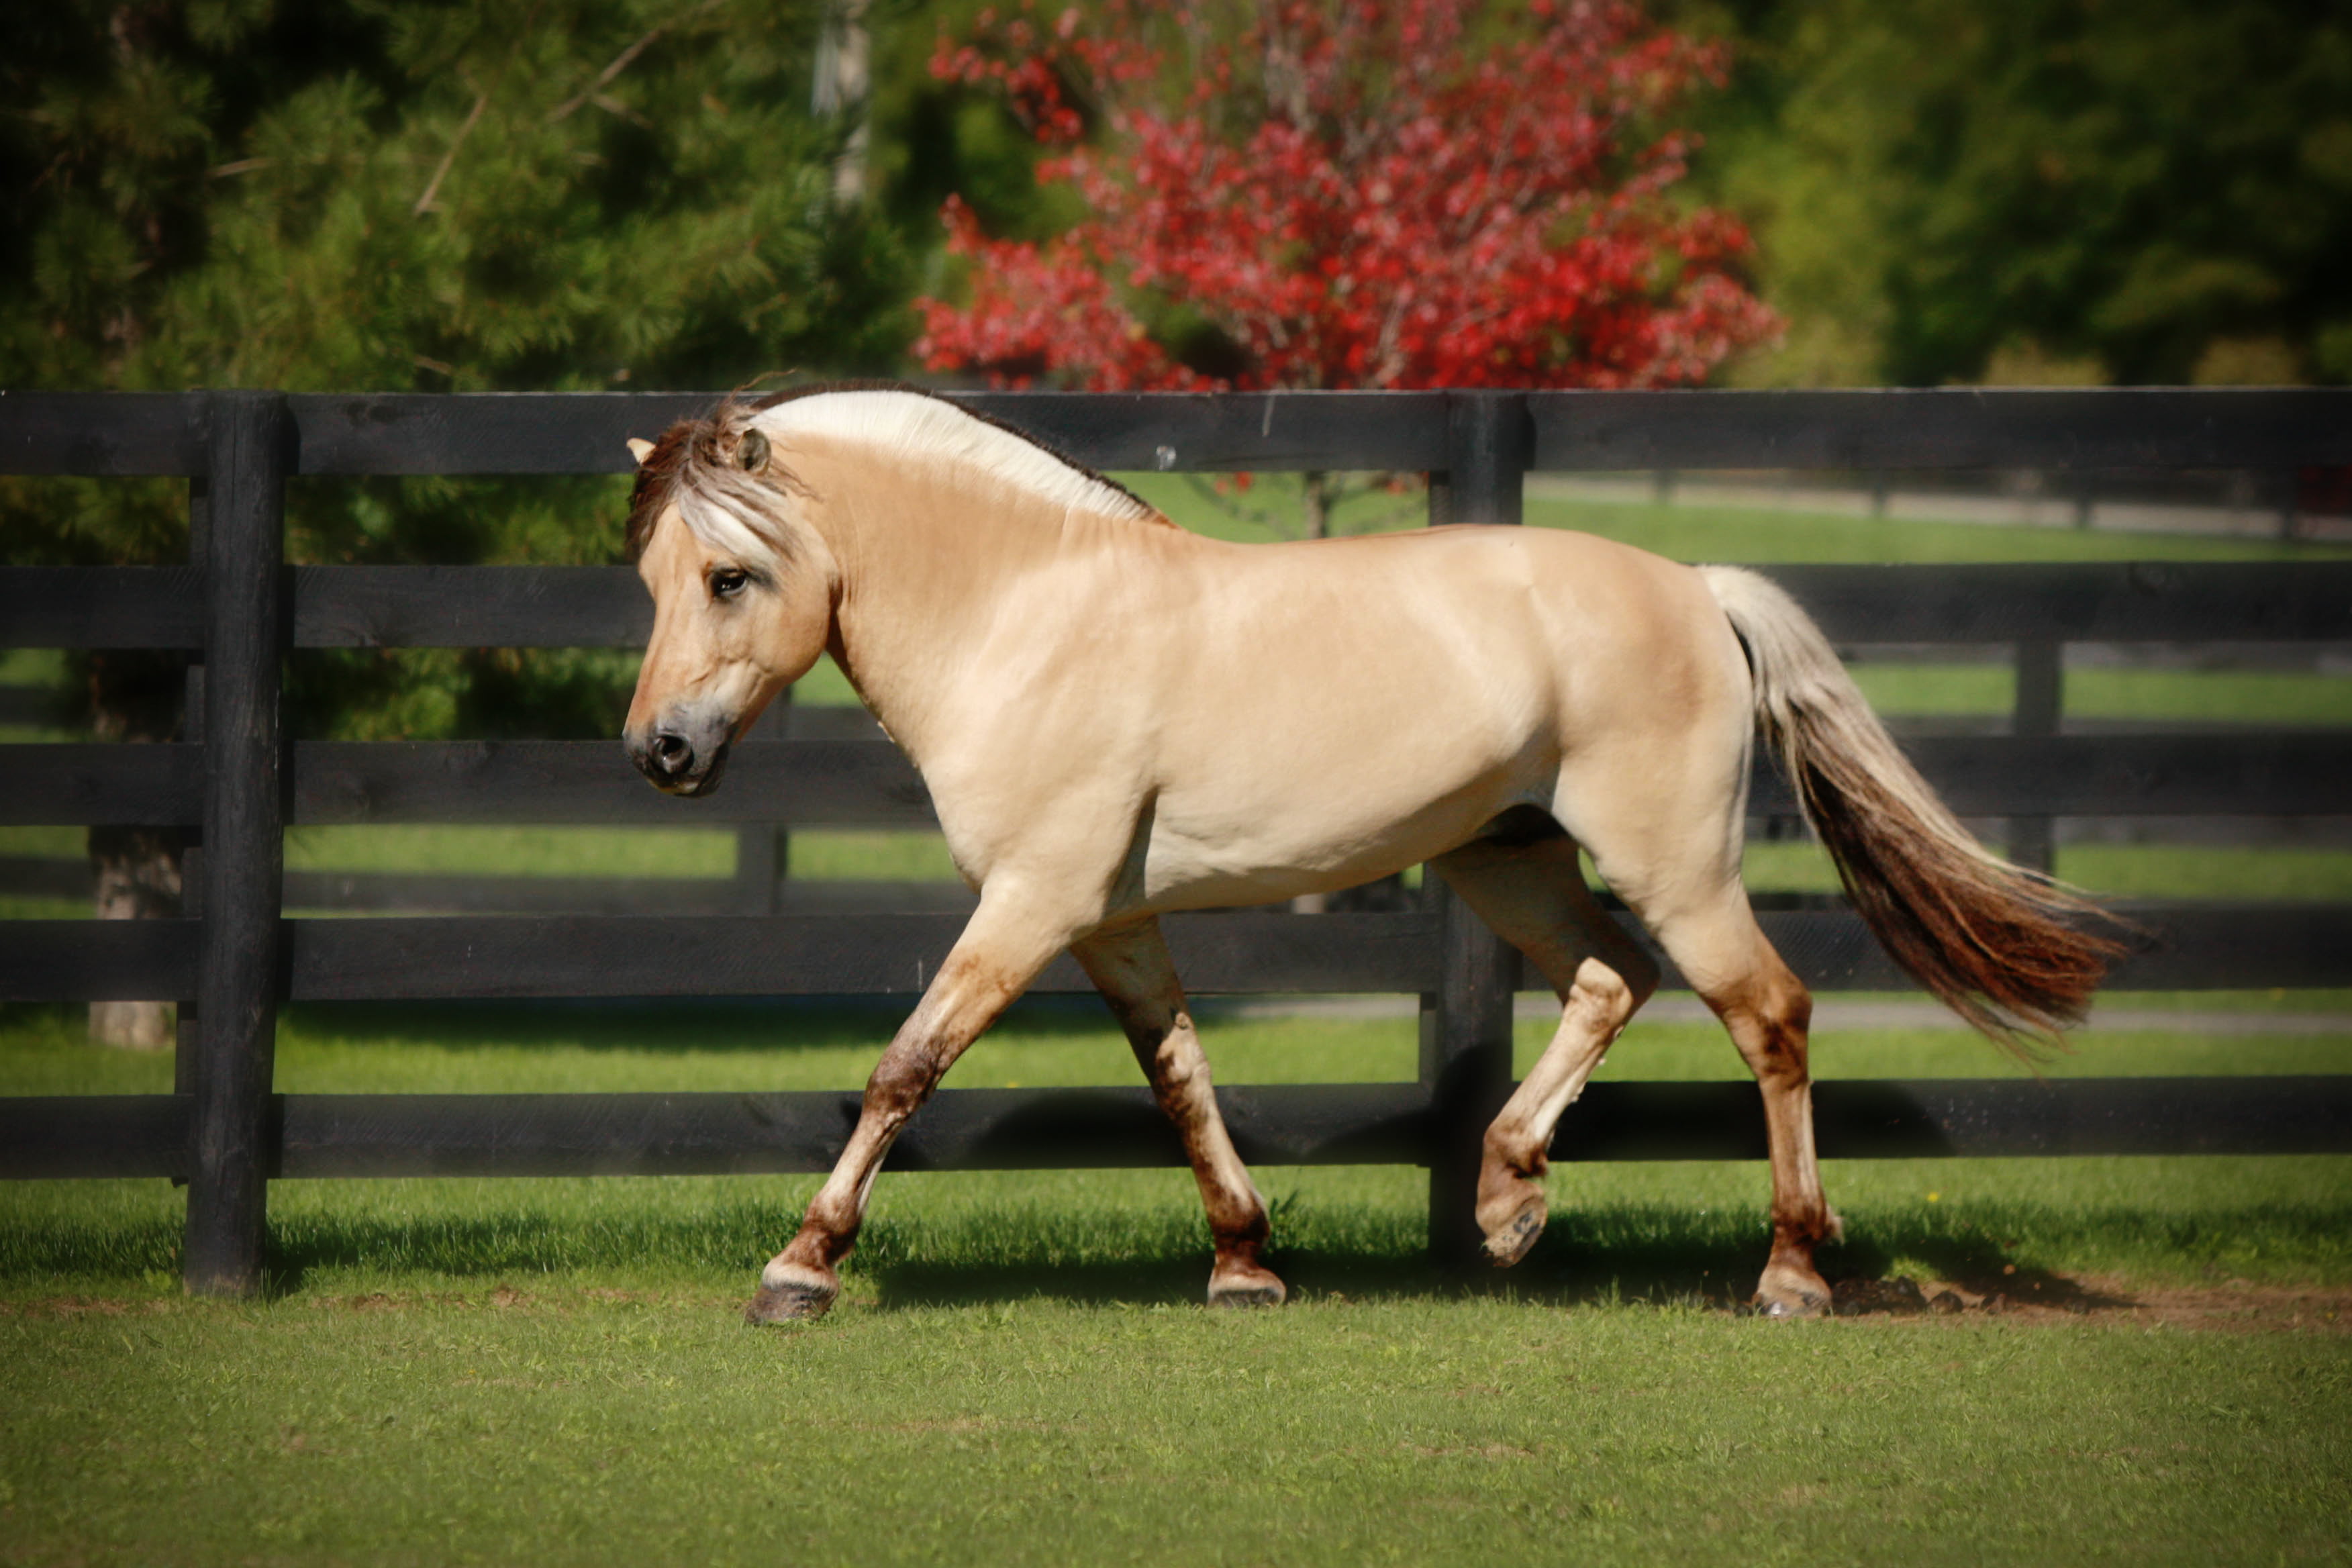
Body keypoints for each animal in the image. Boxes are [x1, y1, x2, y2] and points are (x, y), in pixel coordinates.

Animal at [611, 383, 2116, 1326]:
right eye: (650, 583)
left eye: (732, 577)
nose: (659, 754)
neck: (1030, 612)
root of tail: (1694, 588)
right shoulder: (1109, 918)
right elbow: (1180, 1077)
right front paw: (1244, 1263)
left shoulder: (1031, 903)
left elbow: (907, 1066)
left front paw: (800, 1267)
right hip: (1509, 860)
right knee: (1608, 983)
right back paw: (1507, 1201)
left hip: (1672, 866)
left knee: (1770, 1014)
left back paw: (1791, 1274)